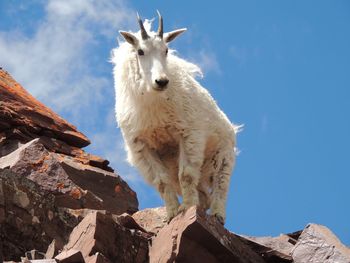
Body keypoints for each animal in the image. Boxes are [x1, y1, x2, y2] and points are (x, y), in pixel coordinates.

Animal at [110, 11, 239, 224]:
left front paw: (187, 208)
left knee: (221, 183)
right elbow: (162, 182)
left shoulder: (188, 134)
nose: (161, 81)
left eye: (166, 50)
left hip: (223, 154)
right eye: (140, 51)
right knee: (204, 194)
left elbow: (186, 175)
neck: (153, 103)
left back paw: (217, 215)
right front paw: (172, 214)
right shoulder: (143, 146)